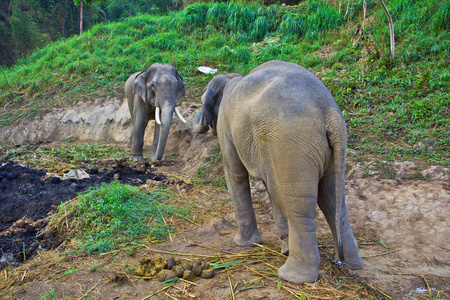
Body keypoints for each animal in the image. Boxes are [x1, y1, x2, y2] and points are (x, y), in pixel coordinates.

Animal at [192, 60, 364, 284]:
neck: (231, 78)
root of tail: (329, 112)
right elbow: (271, 188)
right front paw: (284, 247)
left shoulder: (226, 127)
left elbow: (236, 175)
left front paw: (243, 243)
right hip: (328, 148)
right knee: (334, 202)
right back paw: (352, 265)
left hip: (291, 144)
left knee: (299, 208)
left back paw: (292, 276)